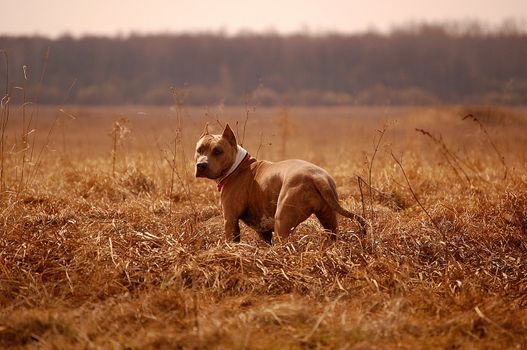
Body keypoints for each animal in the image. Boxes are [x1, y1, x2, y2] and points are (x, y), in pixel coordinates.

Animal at [195, 124, 368, 245]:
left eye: (218, 151)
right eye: (199, 149)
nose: (201, 165)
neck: (237, 166)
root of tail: (317, 177)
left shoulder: (230, 219)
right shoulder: (263, 231)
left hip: (282, 221)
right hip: (328, 219)